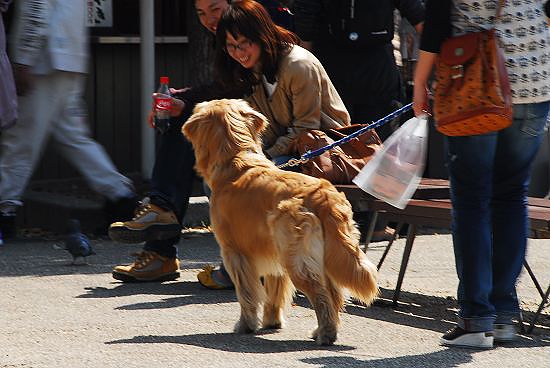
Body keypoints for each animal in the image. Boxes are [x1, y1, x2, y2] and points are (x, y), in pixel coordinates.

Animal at [183, 98, 378, 344]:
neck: (236, 160)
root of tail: (323, 195)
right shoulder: (273, 256)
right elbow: (273, 294)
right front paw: (272, 322)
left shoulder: (235, 253)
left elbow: (246, 294)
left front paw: (246, 325)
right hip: (325, 255)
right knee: (333, 294)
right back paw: (323, 329)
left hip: (297, 260)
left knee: (321, 295)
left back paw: (326, 333)